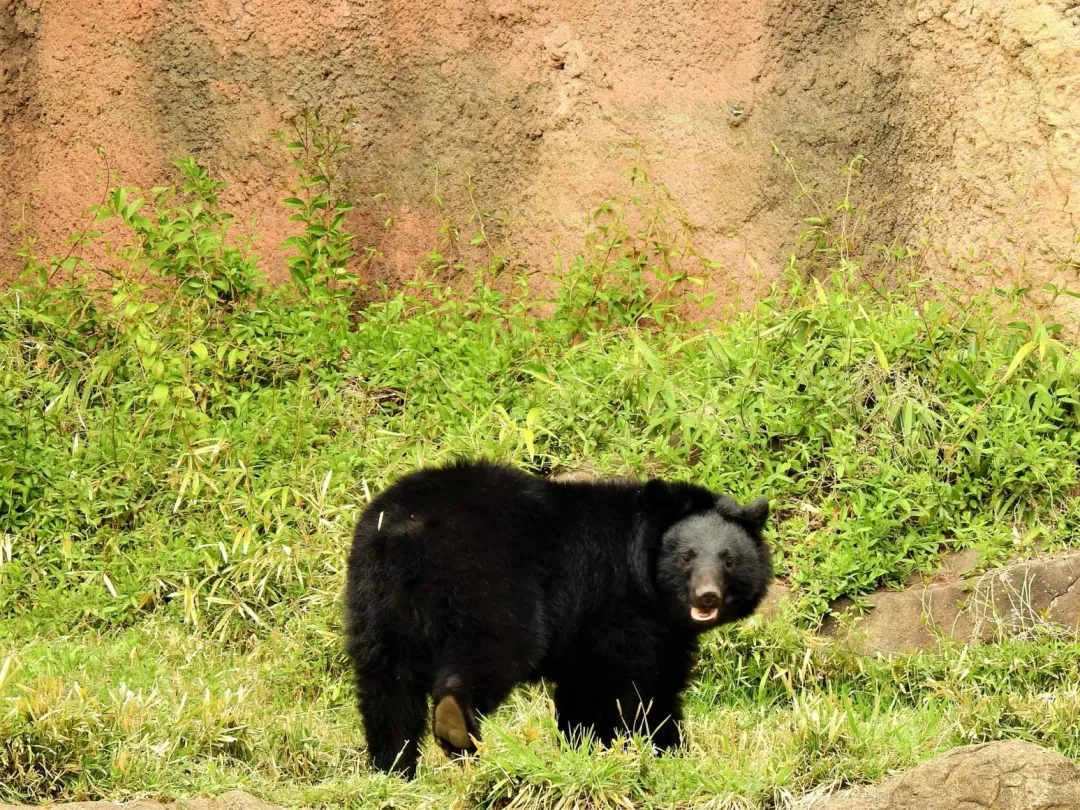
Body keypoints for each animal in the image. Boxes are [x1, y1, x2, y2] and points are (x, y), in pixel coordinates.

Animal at [344, 458, 772, 778]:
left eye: (729, 560)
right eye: (686, 556)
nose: (707, 596)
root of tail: (408, 530)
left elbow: (586, 690)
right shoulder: (619, 607)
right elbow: (636, 686)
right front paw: (655, 750)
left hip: (377, 602)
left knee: (387, 683)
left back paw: (393, 766)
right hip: (490, 582)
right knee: (492, 648)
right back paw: (456, 727)